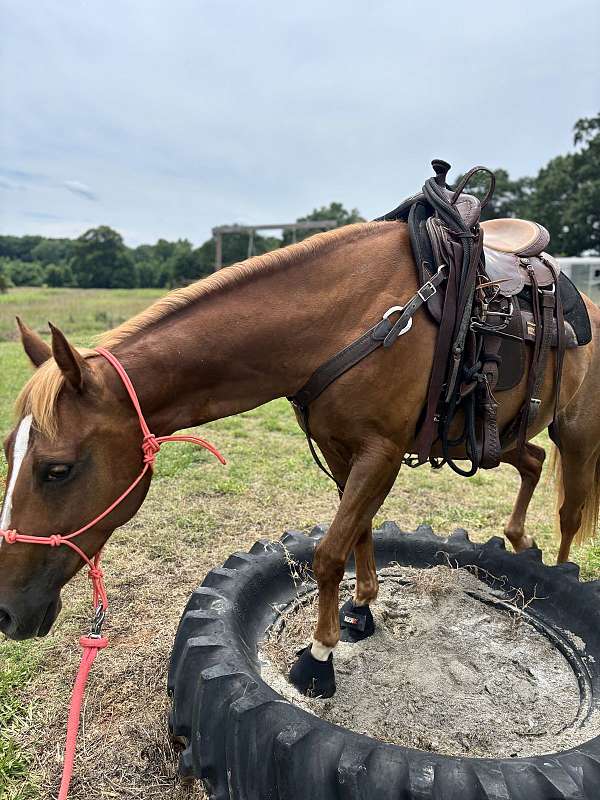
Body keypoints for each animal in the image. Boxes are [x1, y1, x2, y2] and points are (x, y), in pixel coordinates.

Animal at [1, 221, 599, 694]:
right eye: (10, 451)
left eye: (57, 469)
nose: (6, 611)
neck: (349, 318)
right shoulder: (343, 449)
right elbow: (360, 530)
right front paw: (361, 610)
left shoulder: (381, 451)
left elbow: (330, 552)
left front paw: (319, 657)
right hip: (499, 435)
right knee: (533, 461)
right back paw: (519, 538)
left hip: (577, 435)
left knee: (569, 509)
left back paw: (559, 568)